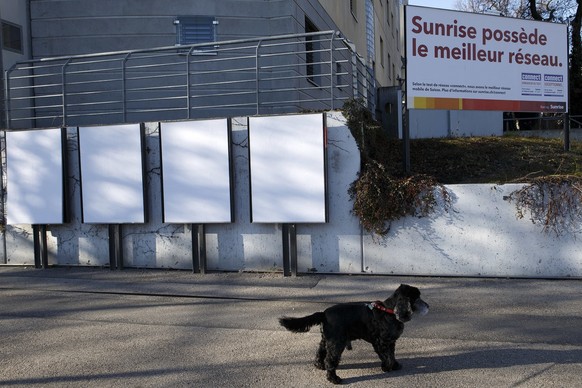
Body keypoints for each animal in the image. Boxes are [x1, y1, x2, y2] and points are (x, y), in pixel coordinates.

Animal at [278, 284, 428, 384]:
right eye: (417, 298)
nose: (428, 306)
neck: (389, 311)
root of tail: (324, 313)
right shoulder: (381, 342)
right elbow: (387, 356)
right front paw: (387, 367)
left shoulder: (390, 342)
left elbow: (392, 355)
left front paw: (395, 365)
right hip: (337, 342)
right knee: (330, 360)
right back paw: (334, 378)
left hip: (326, 339)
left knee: (320, 352)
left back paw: (319, 365)